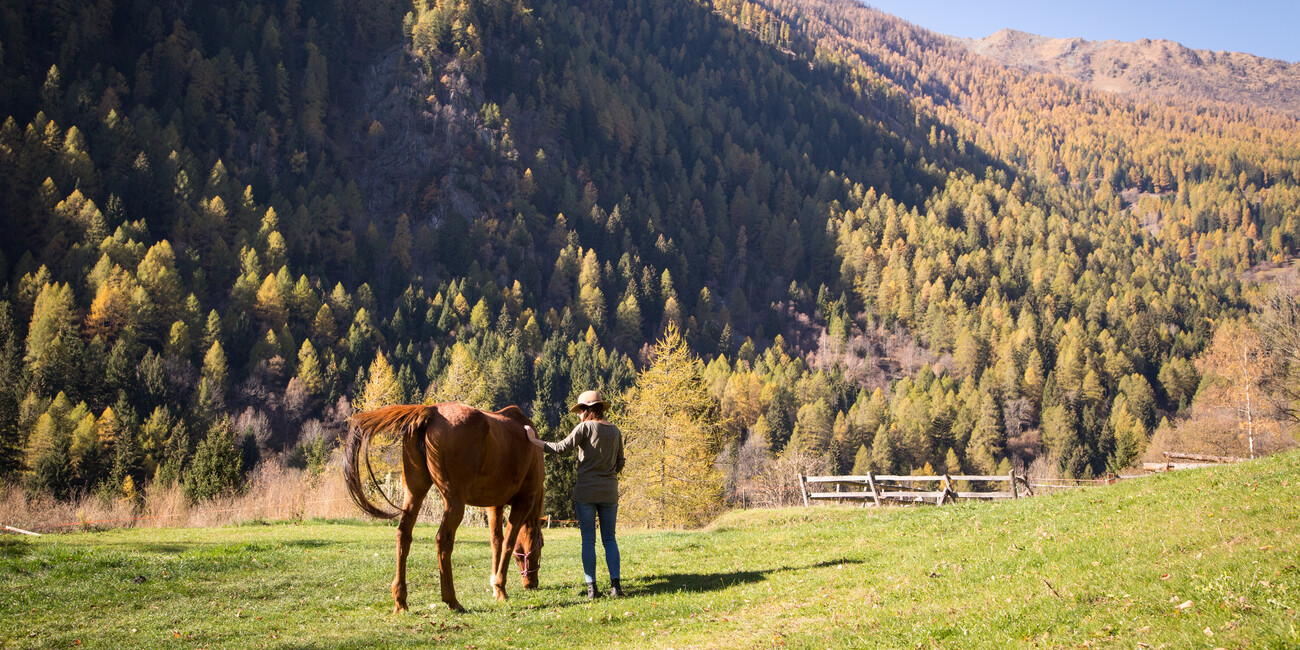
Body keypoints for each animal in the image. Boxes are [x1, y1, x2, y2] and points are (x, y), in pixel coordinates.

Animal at [340, 403, 543, 611]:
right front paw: (500, 588)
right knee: (443, 539)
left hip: (414, 492)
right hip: (454, 502)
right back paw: (451, 599)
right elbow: (508, 543)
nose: (532, 584)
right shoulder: (524, 501)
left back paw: (400, 600)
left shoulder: (494, 504)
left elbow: (496, 542)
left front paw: (495, 587)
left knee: (403, 535)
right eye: (541, 545)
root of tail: (432, 410)